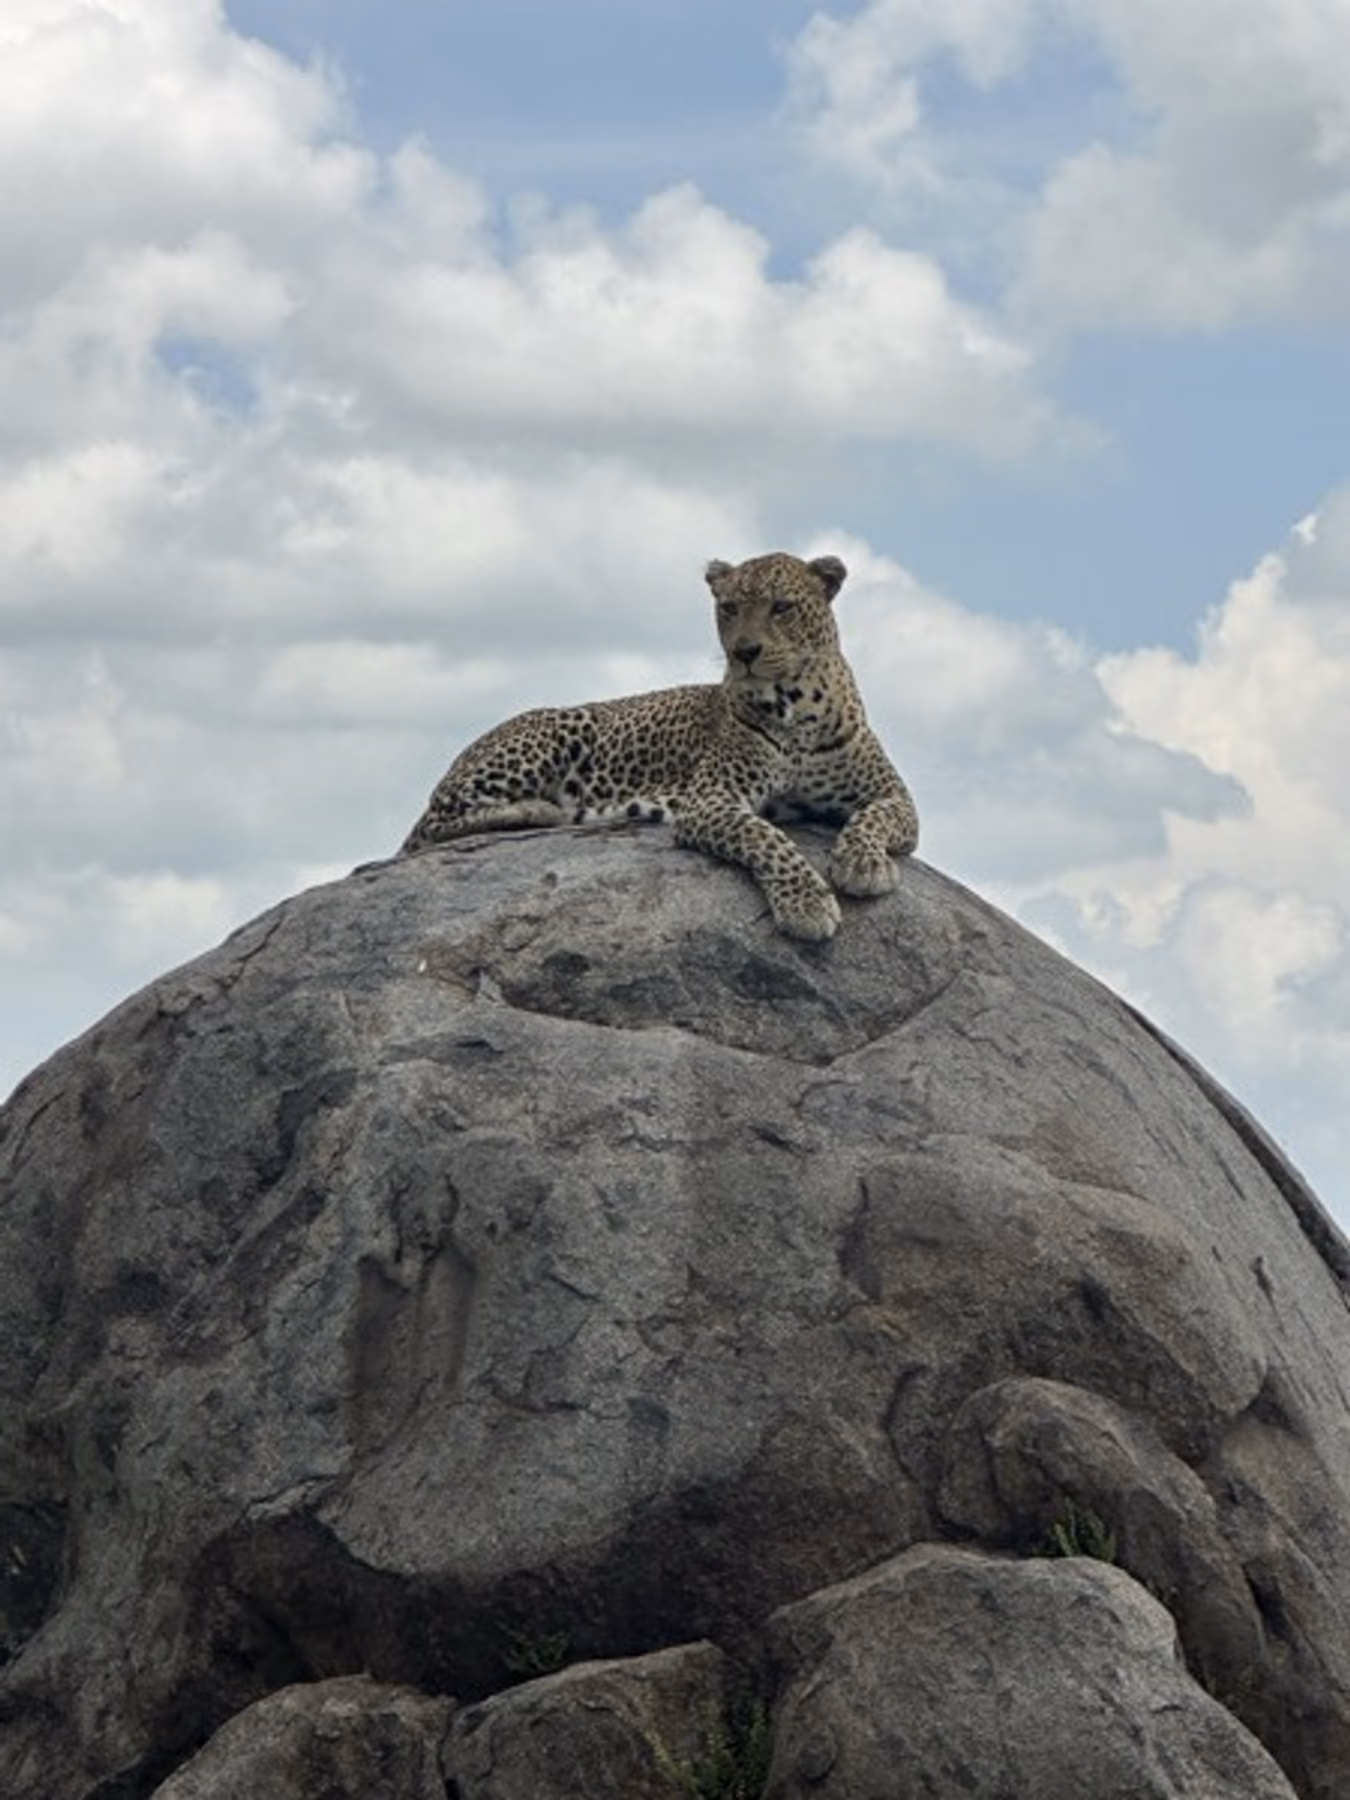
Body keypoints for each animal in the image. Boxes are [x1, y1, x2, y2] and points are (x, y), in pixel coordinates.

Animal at [399, 550, 919, 941]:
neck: (795, 705)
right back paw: (541, 809)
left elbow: (872, 819)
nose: (744, 653)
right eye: (729, 608)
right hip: (559, 727)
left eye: (781, 607)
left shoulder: (894, 796)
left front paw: (862, 863)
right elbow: (766, 838)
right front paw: (808, 904)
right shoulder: (711, 798)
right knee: (434, 825)